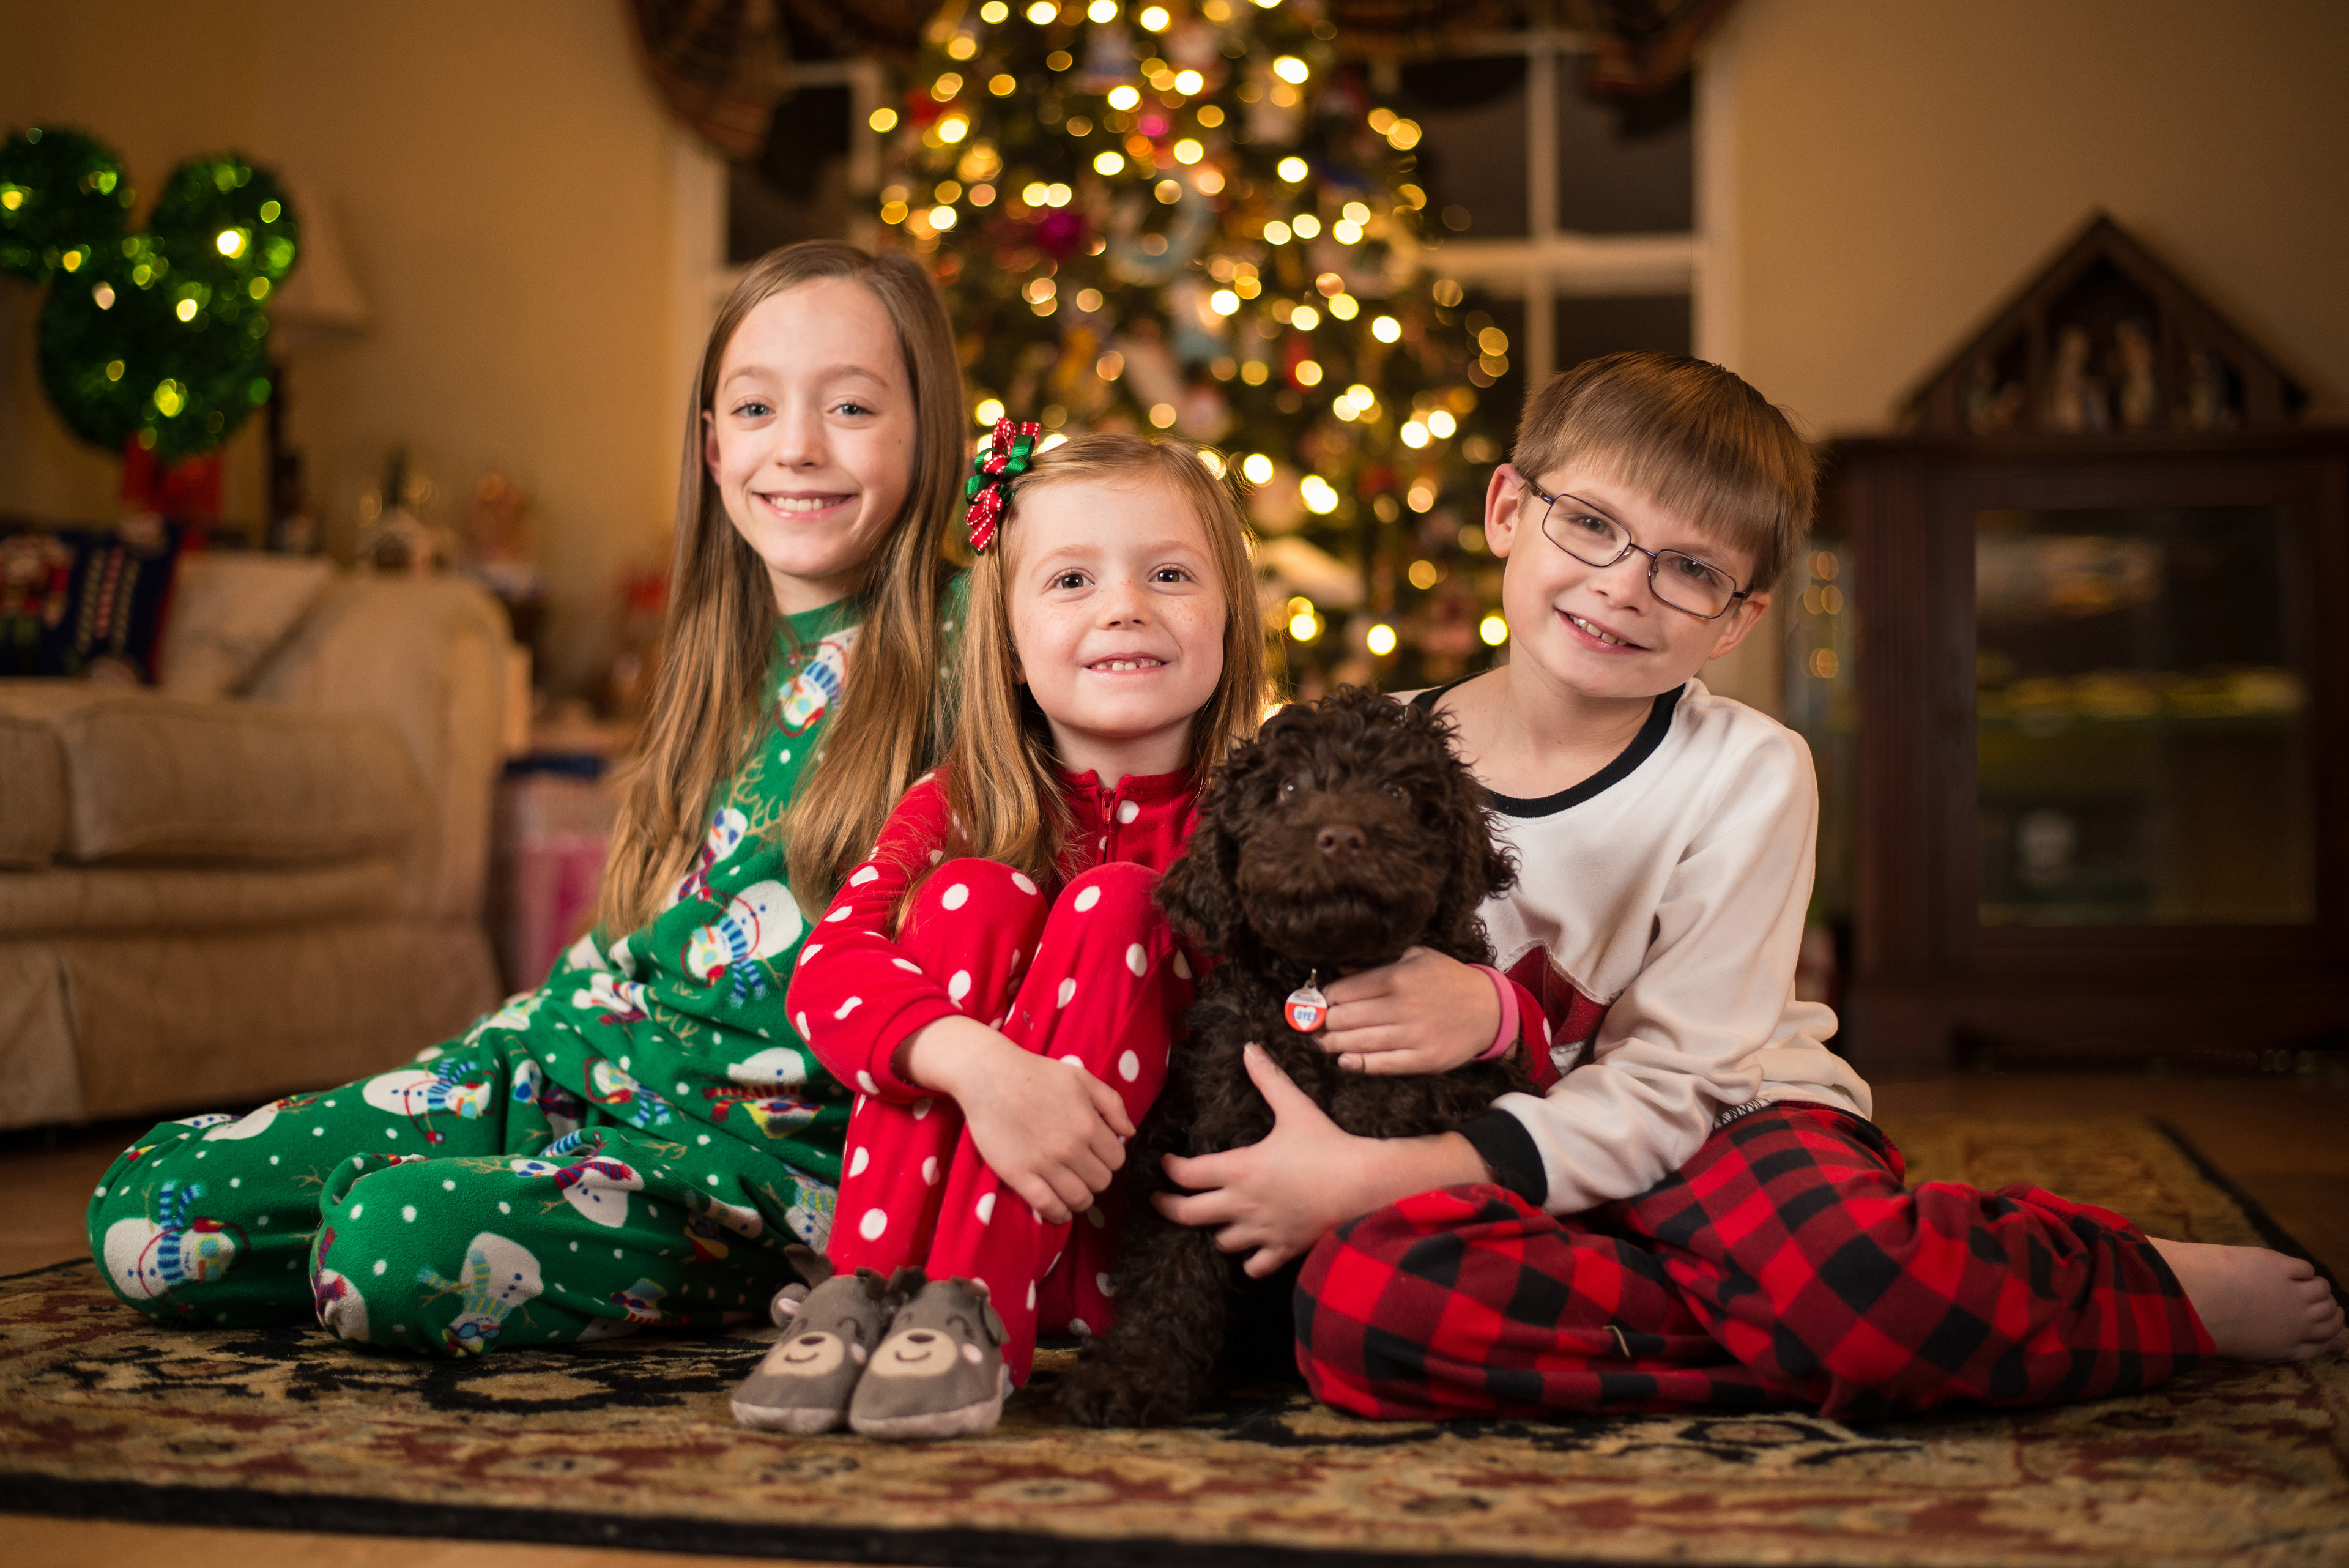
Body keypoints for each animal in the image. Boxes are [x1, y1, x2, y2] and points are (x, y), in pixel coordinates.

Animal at [1057, 686, 1534, 1427]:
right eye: (1284, 789)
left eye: (1397, 791)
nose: (1339, 837)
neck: (1324, 985)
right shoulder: (1214, 1136)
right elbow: (1174, 1268)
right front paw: (1132, 1373)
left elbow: (1393, 1113)